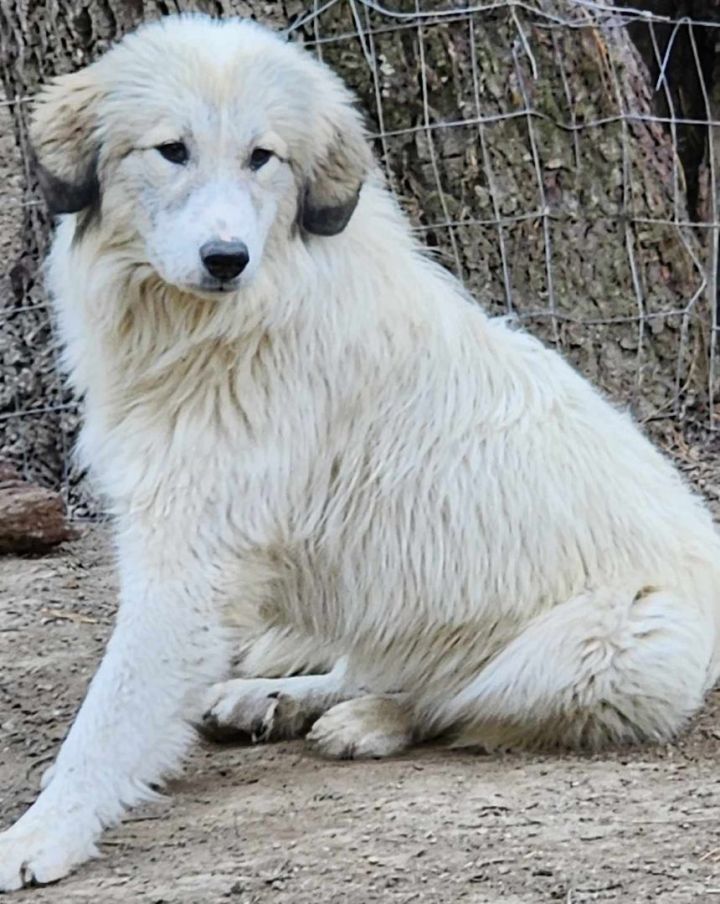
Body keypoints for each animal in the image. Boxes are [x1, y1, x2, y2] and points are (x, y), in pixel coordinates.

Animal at [1, 12, 720, 888]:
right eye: (172, 149)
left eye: (262, 157)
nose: (226, 259)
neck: (222, 324)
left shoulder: (190, 563)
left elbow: (110, 714)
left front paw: (44, 834)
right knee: (377, 665)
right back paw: (273, 698)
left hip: (621, 640)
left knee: (457, 700)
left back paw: (367, 720)